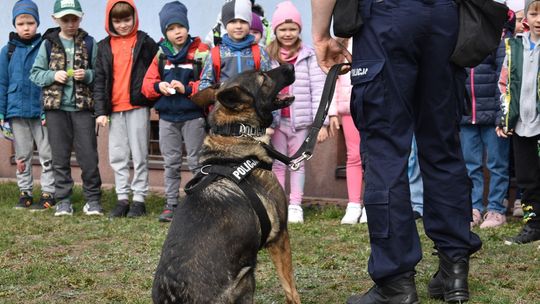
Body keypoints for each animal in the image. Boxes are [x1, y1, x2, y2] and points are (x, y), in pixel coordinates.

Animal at [152, 64, 302, 304]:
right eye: (263, 77)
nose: (290, 65)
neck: (237, 132)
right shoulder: (280, 237)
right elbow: (290, 288)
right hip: (247, 275)